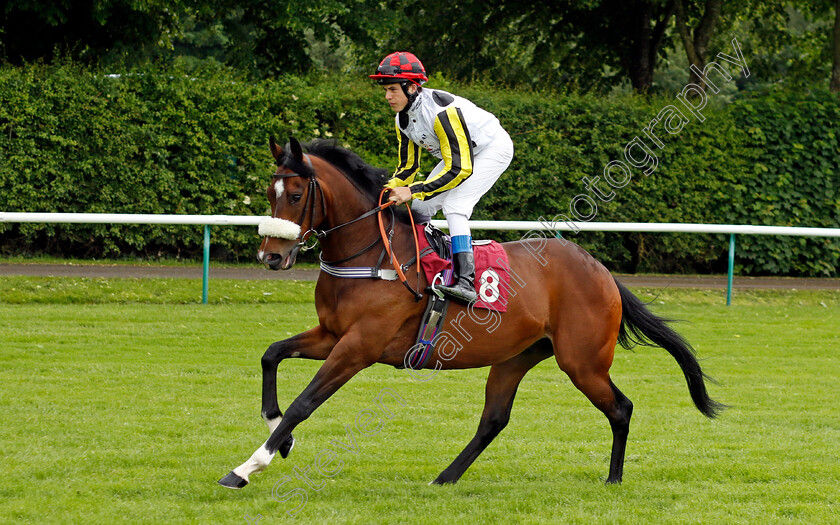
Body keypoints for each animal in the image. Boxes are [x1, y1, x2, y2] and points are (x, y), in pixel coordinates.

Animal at [220, 137, 724, 490]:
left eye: (296, 193)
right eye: (270, 191)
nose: (271, 256)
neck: (374, 255)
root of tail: (601, 271)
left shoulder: (359, 346)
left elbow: (305, 403)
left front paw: (248, 466)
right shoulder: (331, 334)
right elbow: (271, 354)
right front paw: (279, 436)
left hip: (582, 362)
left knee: (621, 408)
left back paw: (614, 478)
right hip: (516, 357)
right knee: (494, 420)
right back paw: (445, 477)